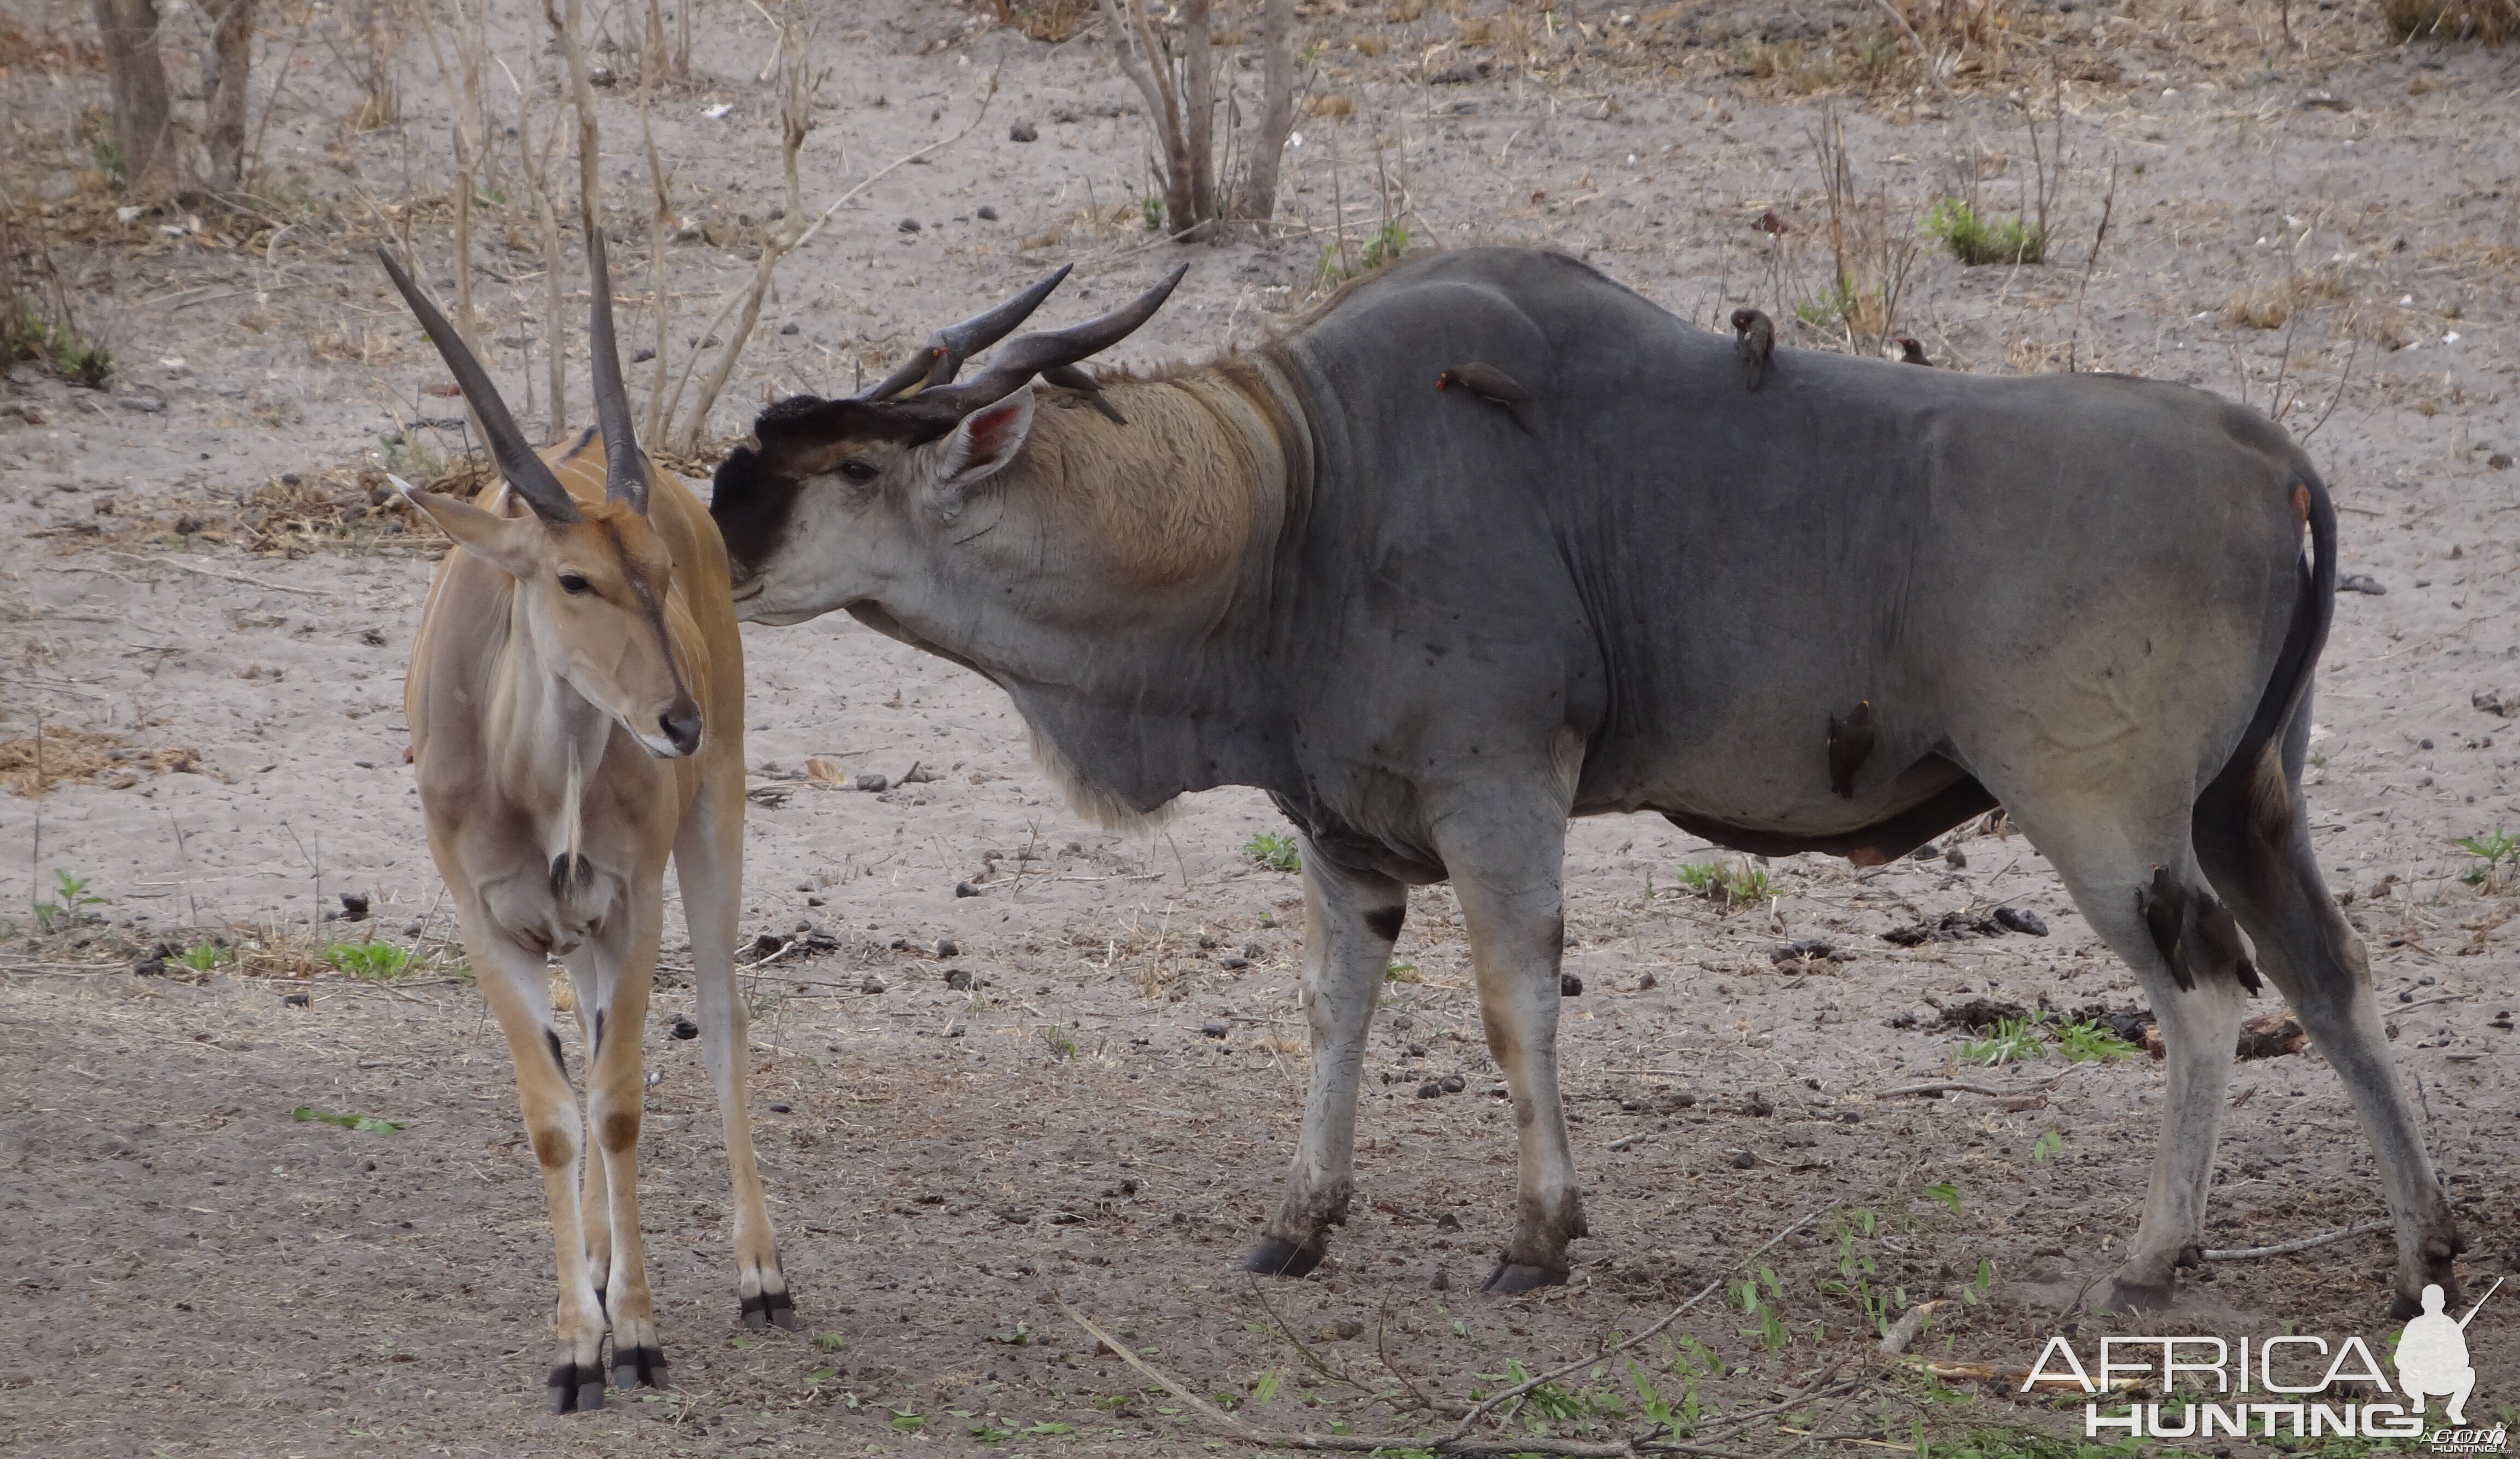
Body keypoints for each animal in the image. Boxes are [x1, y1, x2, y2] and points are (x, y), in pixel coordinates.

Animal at [705, 248, 2459, 1310]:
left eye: (847, 466)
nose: (708, 552)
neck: (1301, 493)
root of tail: (2263, 455)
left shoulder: (1498, 795)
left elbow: (1514, 1001)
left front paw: (1536, 1239)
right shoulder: (1348, 842)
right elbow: (1335, 1012)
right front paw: (1299, 1221)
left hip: (2104, 821)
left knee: (2210, 990)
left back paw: (2152, 1259)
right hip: (2250, 810)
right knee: (2337, 981)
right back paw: (2422, 1254)